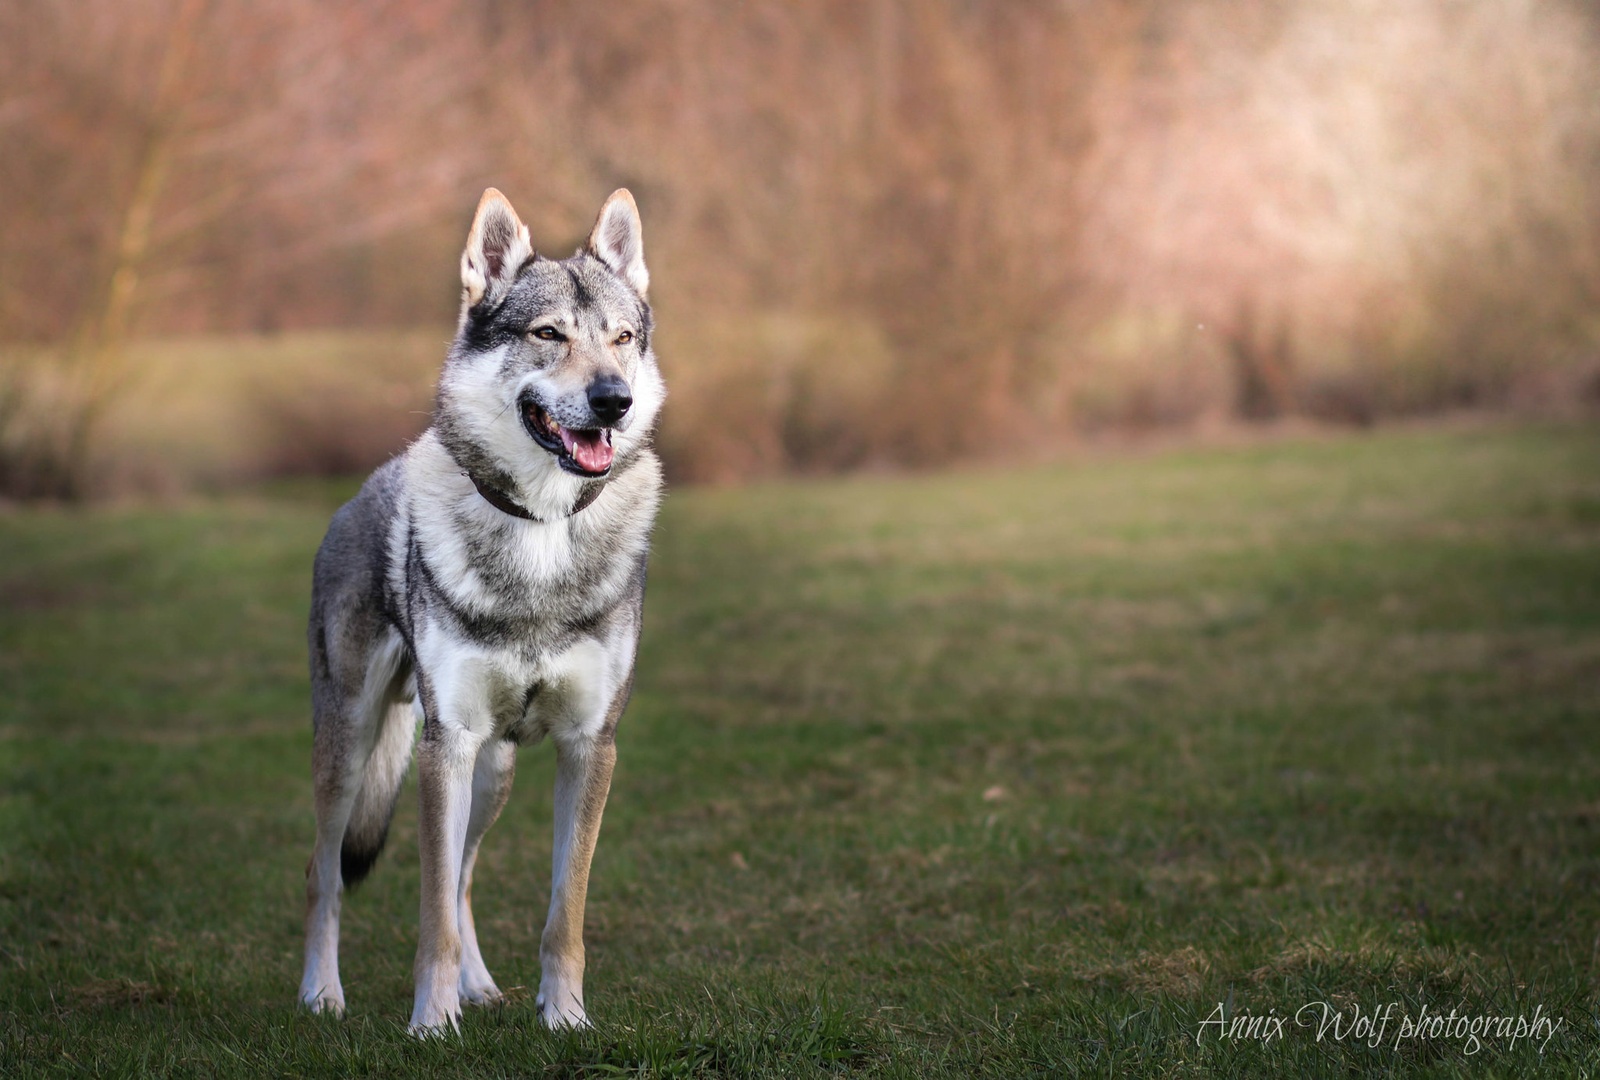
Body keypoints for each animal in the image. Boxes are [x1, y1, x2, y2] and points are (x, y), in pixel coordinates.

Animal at [297, 187, 665, 1035]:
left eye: (623, 339)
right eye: (548, 334)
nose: (614, 401)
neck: (543, 529)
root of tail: (371, 481)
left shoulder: (589, 747)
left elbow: (563, 912)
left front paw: (565, 1019)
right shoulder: (449, 743)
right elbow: (428, 910)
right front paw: (430, 1026)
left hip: (494, 772)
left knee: (464, 875)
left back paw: (480, 984)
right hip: (355, 745)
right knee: (322, 873)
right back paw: (321, 995)